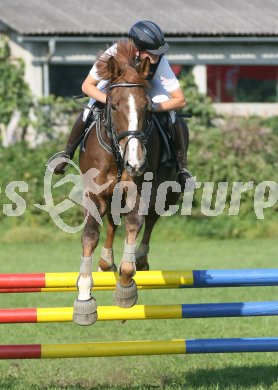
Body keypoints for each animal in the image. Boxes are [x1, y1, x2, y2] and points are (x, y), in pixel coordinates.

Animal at [73, 40, 185, 326]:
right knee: (112, 223)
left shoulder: (140, 190)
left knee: (152, 219)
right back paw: (105, 261)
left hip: (167, 191)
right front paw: (84, 298)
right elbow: (90, 235)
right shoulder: (94, 193)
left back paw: (140, 258)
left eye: (147, 107)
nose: (135, 163)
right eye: (113, 105)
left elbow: (135, 224)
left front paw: (125, 284)